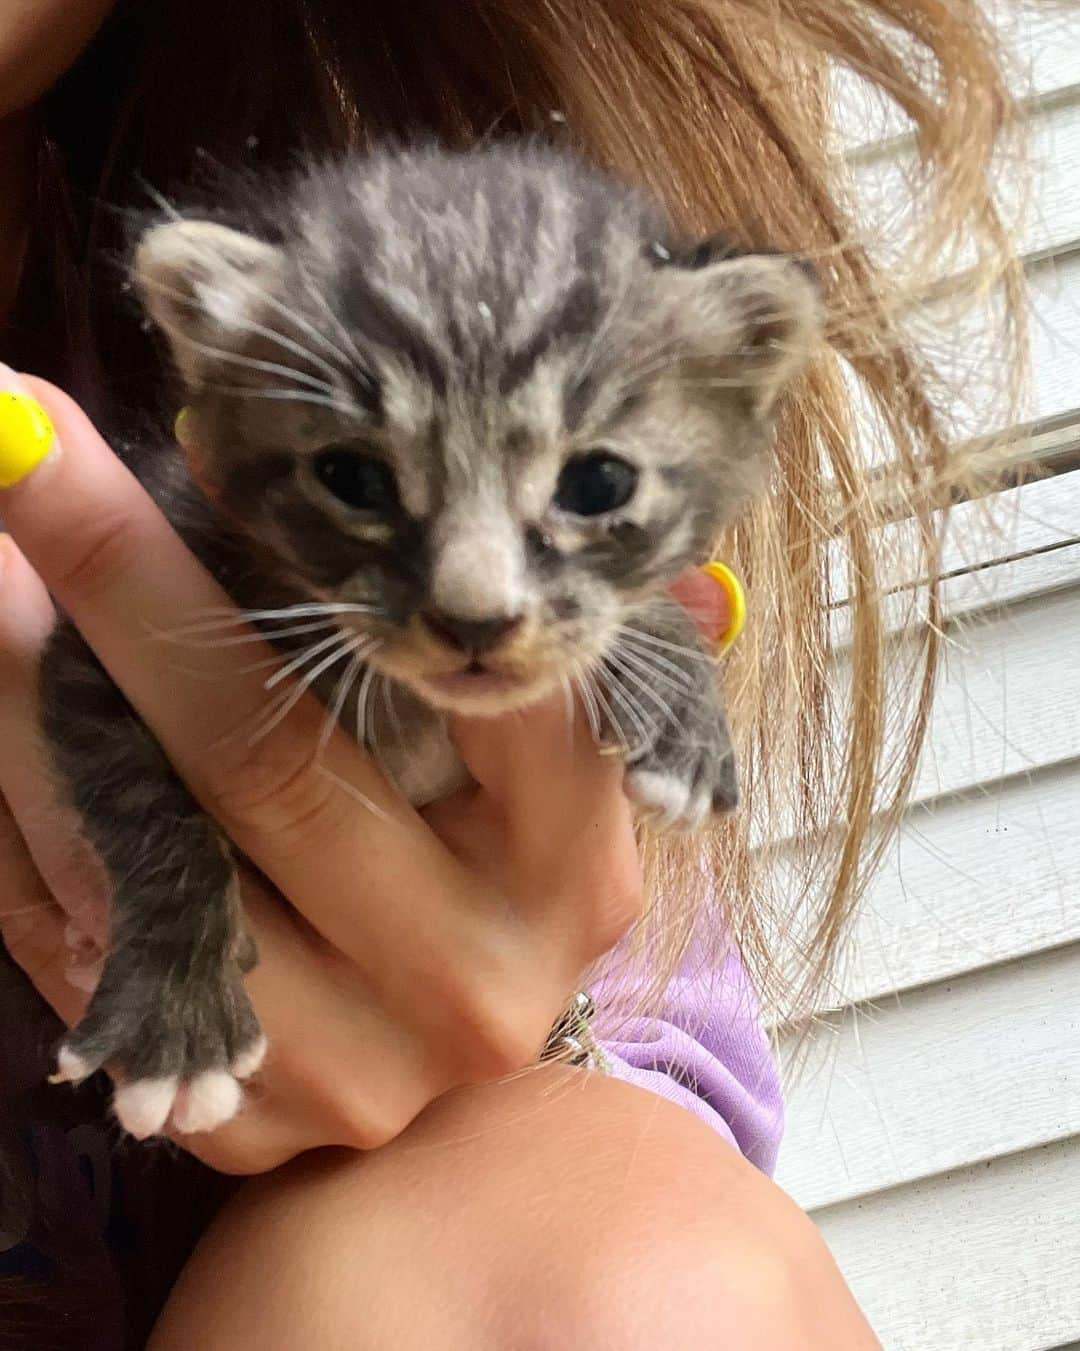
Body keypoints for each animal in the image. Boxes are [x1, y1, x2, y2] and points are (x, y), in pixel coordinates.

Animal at [42, 145, 821, 1140]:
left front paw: (680, 704)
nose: (475, 618)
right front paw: (176, 1015)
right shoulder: (133, 591)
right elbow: (146, 805)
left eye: (598, 483)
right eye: (352, 477)